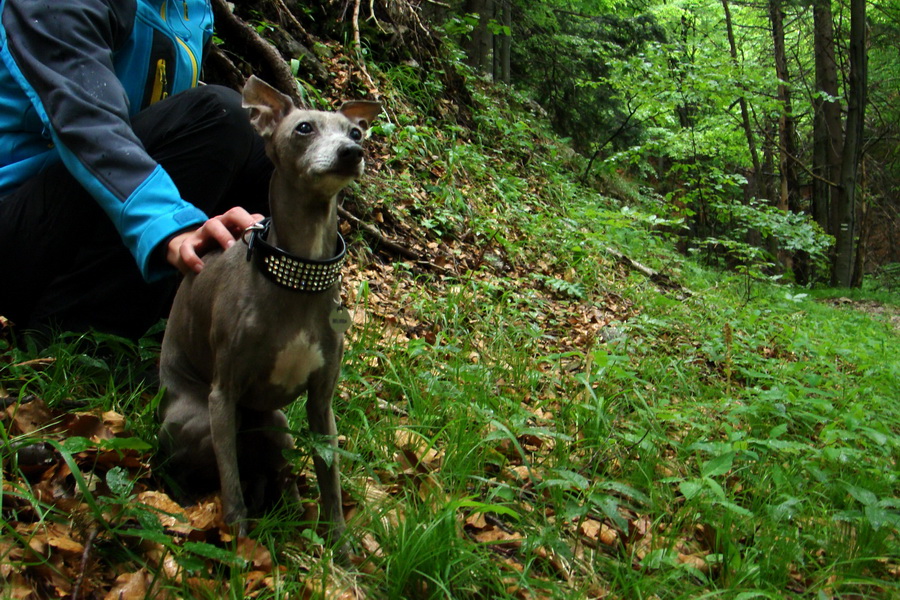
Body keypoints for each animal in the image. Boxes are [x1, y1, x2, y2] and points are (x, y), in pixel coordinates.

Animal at [157, 76, 380, 544]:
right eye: (304, 128)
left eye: (355, 132)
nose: (352, 153)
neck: (300, 275)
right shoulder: (223, 396)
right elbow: (231, 488)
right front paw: (239, 545)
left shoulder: (321, 404)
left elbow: (331, 487)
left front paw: (341, 551)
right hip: (199, 419)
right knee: (201, 469)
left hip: (277, 426)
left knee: (274, 470)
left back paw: (288, 506)